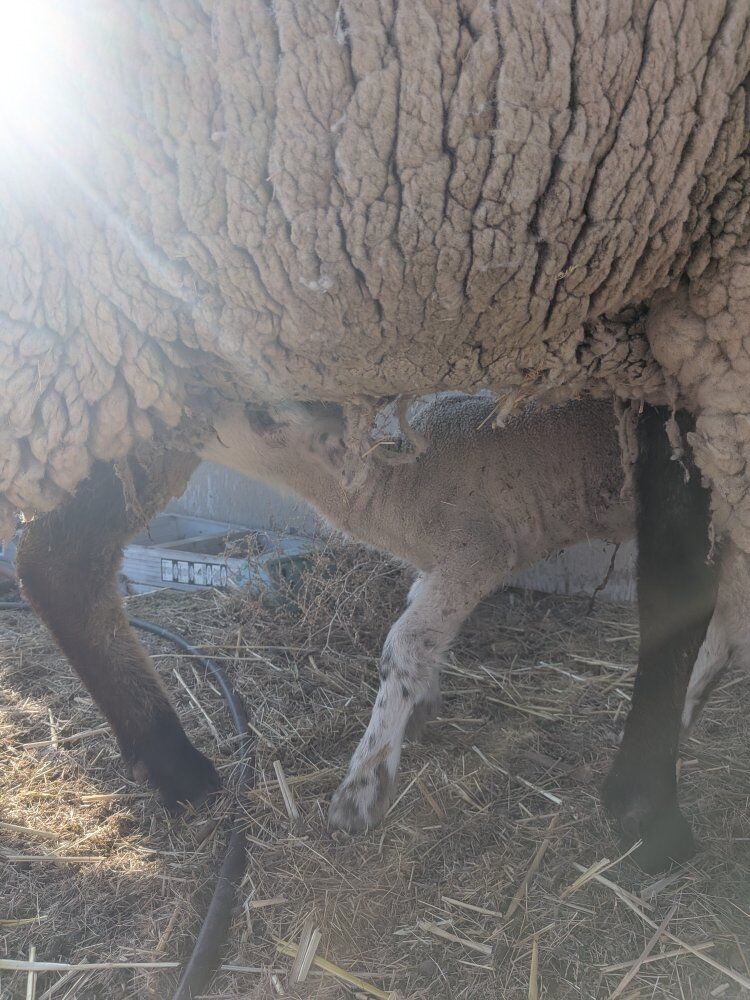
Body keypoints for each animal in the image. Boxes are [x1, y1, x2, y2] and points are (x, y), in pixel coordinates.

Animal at [18, 394, 740, 869]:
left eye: (259, 414)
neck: (393, 491)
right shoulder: (443, 565)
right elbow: (421, 639)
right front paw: (419, 712)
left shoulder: (479, 549)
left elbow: (404, 644)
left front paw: (362, 788)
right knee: (728, 626)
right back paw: (683, 721)